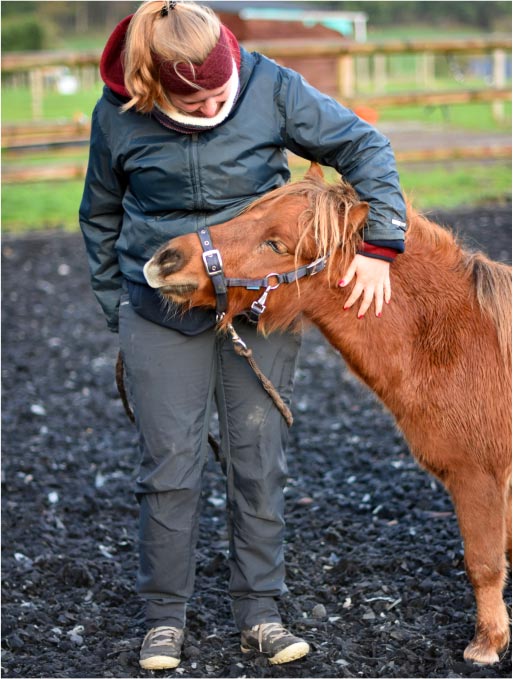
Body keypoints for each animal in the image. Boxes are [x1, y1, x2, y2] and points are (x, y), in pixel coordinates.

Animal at [142, 166, 510, 668]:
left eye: (276, 244)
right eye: (246, 210)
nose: (167, 259)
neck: (464, 342)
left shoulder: (480, 476)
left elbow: (485, 562)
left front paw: (487, 643)